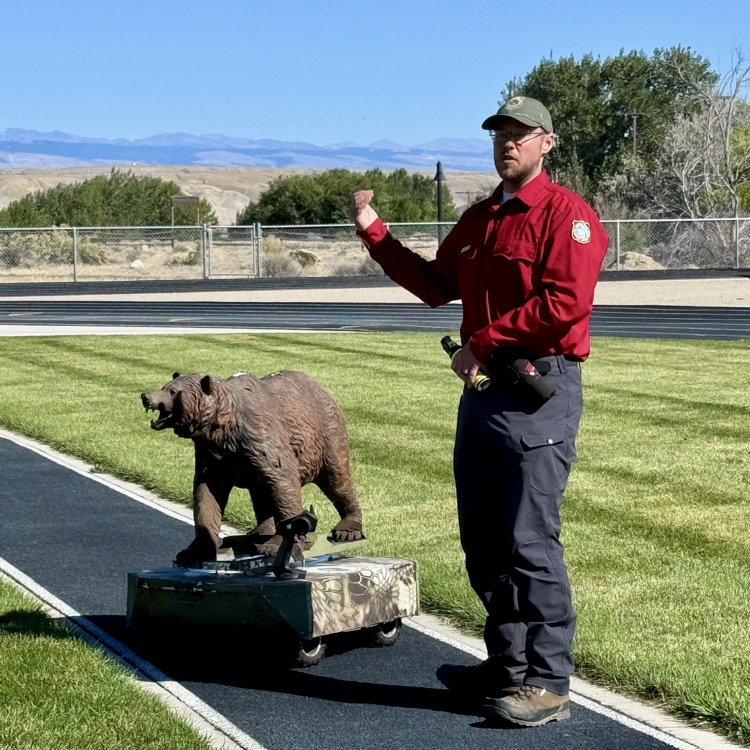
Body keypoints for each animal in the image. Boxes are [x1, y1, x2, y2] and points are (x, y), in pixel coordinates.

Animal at [140, 370, 364, 565]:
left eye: (173, 392)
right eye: (165, 386)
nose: (146, 396)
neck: (222, 431)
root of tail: (321, 387)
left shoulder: (259, 438)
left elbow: (284, 481)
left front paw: (278, 545)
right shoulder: (212, 457)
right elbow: (207, 495)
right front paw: (195, 550)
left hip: (327, 436)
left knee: (337, 478)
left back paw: (347, 529)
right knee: (262, 494)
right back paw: (257, 533)